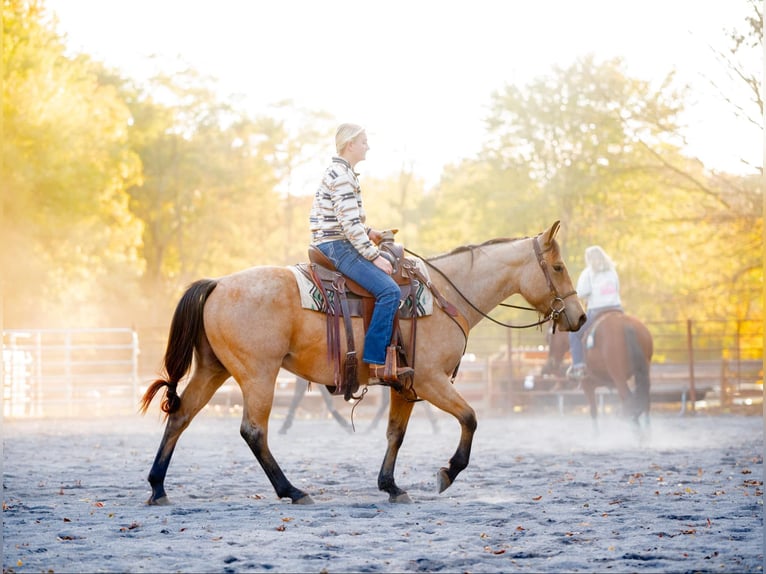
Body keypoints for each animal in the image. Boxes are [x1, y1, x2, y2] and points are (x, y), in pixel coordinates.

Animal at [141, 223, 584, 506]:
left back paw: (158, 488)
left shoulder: (406, 385)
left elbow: (395, 435)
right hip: (258, 374)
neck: (443, 294)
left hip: (213, 369)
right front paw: (446, 473)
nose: (579, 317)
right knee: (253, 431)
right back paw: (292, 491)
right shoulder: (431, 380)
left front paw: (390, 486)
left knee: (180, 417)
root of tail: (218, 284)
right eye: (558, 267)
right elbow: (470, 418)